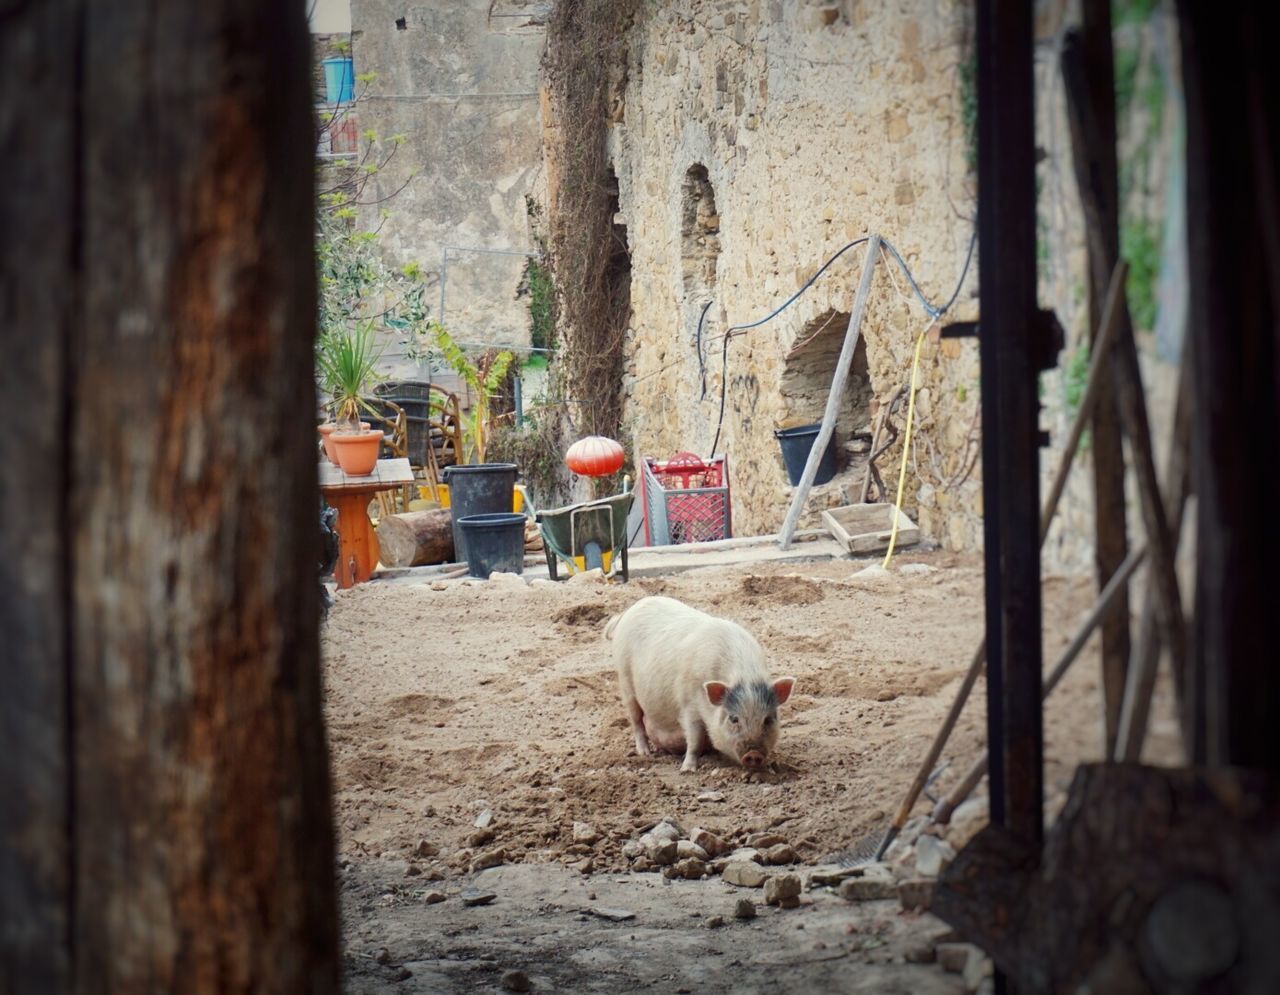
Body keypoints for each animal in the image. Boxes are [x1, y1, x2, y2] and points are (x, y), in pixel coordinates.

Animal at [604, 594, 793, 773]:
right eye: (733, 719)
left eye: (768, 719)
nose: (753, 754)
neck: (744, 676)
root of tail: (627, 612)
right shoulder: (688, 705)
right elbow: (694, 739)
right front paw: (688, 769)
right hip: (625, 681)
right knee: (636, 720)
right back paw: (645, 753)